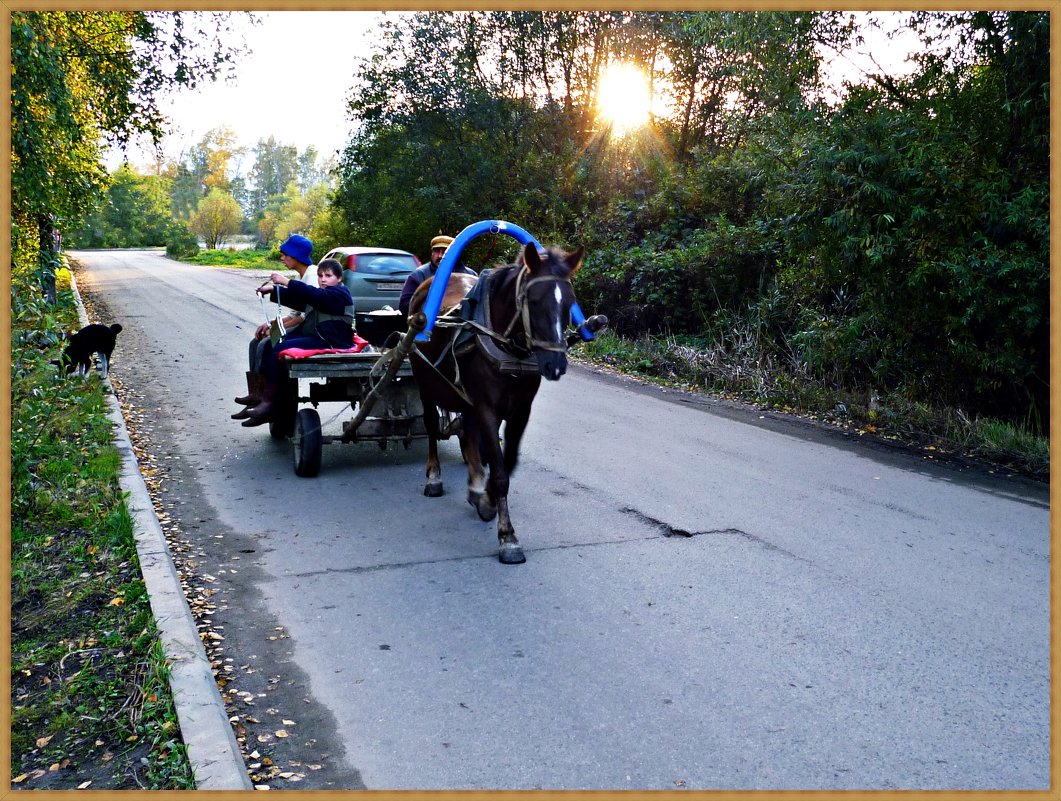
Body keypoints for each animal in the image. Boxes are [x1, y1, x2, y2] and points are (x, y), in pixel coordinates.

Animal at [407, 244, 589, 564]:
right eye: (534, 300)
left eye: (570, 302)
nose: (556, 365)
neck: (508, 345)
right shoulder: (486, 408)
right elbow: (501, 472)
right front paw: (508, 537)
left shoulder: (521, 411)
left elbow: (508, 461)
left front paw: (486, 497)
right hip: (425, 382)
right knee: (431, 426)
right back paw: (434, 479)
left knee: (468, 433)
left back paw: (475, 485)